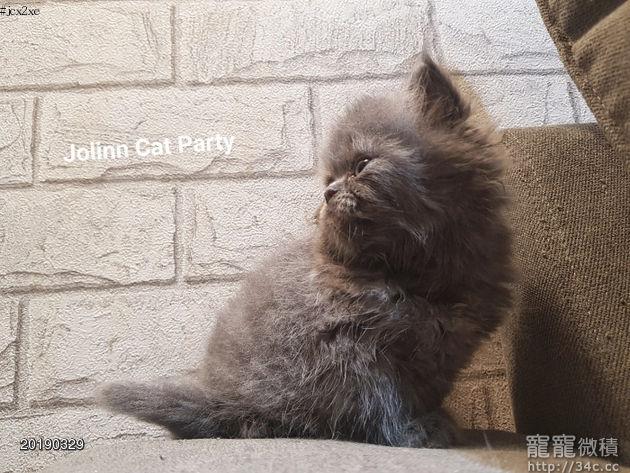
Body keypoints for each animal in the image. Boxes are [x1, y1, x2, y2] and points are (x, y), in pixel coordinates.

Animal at [99, 55, 513, 448]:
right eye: (329, 180)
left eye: (362, 164)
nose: (328, 194)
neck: (411, 274)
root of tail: (217, 399)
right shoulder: (348, 348)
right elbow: (382, 400)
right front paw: (416, 432)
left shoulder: (442, 353)